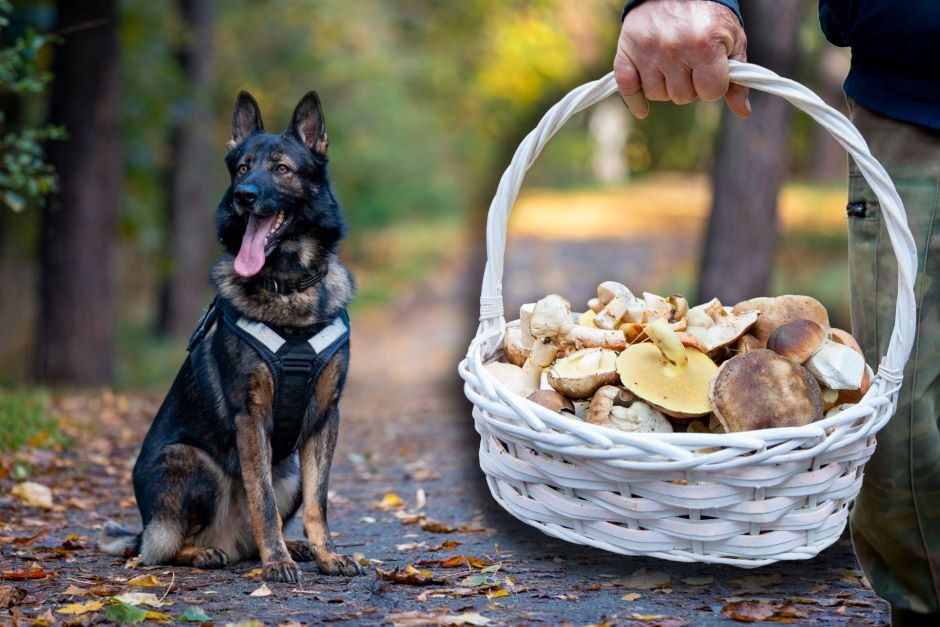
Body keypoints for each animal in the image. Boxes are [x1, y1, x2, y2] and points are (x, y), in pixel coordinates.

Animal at [99, 89, 362, 584]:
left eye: (281, 168)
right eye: (242, 168)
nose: (244, 196)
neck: (286, 285)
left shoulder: (326, 417)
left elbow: (318, 501)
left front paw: (326, 554)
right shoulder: (250, 417)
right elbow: (261, 499)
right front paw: (275, 562)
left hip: (290, 469)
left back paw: (293, 547)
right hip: (190, 462)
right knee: (160, 550)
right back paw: (209, 552)